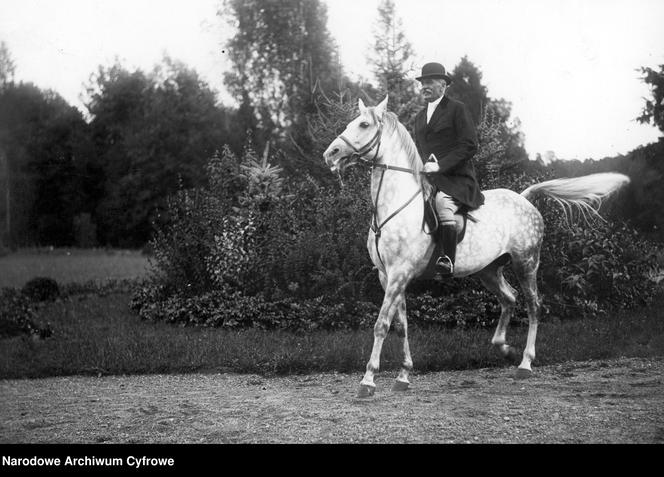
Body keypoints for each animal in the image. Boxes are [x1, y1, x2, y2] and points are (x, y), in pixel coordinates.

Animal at [324, 95, 632, 396]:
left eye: (363, 124)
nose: (331, 154)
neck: (396, 205)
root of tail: (524, 198)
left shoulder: (400, 272)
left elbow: (382, 325)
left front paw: (368, 380)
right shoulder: (387, 275)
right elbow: (401, 326)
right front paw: (403, 374)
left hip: (526, 263)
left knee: (533, 306)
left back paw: (525, 363)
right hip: (489, 270)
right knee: (509, 298)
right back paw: (505, 349)